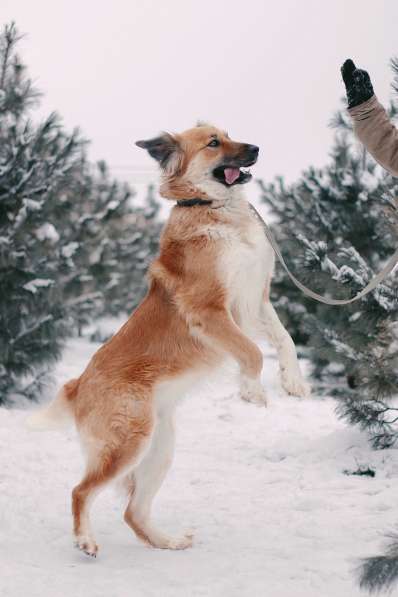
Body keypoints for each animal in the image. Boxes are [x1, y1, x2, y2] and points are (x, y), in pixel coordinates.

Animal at [28, 123, 310, 556]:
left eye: (229, 134)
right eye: (214, 143)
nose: (257, 148)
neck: (214, 208)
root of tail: (78, 385)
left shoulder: (255, 301)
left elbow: (285, 339)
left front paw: (292, 380)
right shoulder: (210, 310)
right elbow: (251, 353)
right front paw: (251, 391)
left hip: (158, 449)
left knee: (133, 512)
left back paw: (166, 541)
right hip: (128, 445)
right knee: (80, 491)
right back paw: (85, 540)